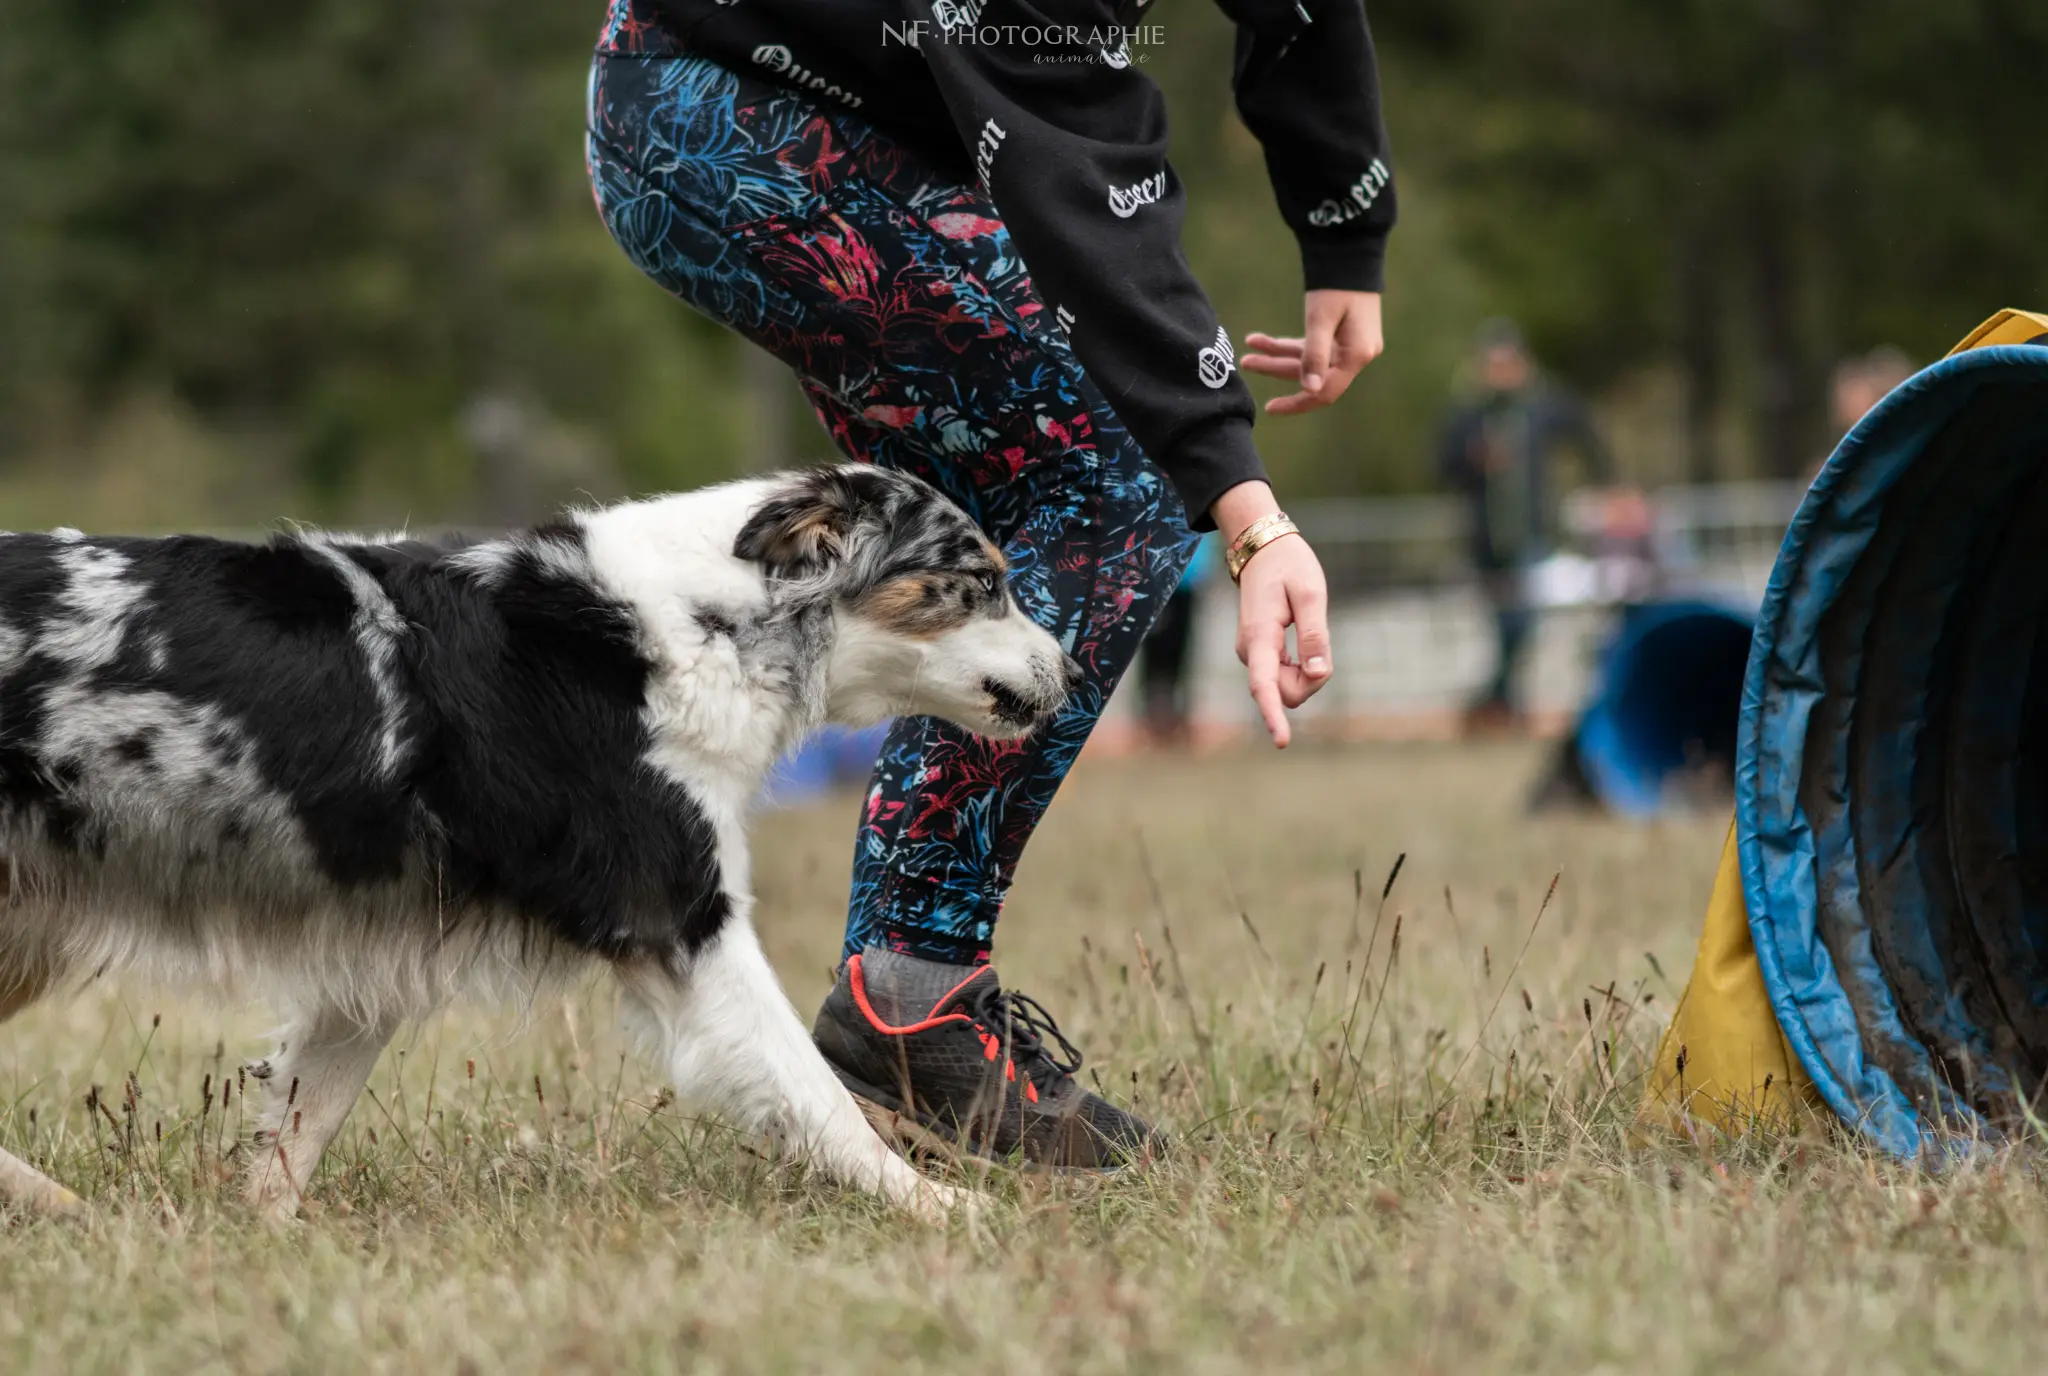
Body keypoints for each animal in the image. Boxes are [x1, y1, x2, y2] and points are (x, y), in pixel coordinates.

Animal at [0, 466, 1081, 1220]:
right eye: (981, 582)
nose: (1070, 670)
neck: (707, 627)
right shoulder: (684, 919)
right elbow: (818, 1096)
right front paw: (943, 1207)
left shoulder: (378, 951)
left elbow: (301, 1121)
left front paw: (262, 1237)